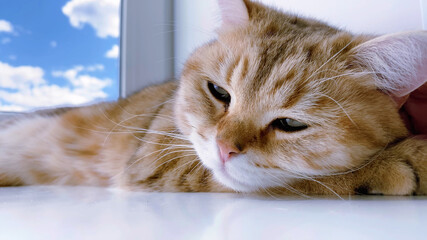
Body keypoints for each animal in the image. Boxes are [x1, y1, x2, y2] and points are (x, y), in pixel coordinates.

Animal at [0, 0, 427, 196]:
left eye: (291, 123)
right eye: (220, 93)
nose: (224, 148)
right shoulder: (158, 164)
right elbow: (308, 181)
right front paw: (398, 160)